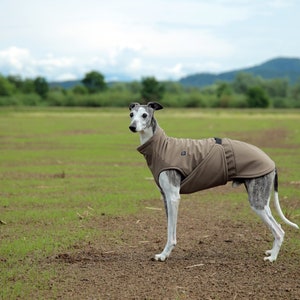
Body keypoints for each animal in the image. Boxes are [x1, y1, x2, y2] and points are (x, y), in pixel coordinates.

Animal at [128, 102, 298, 262]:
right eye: (131, 114)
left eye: (144, 115)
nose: (132, 127)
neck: (161, 146)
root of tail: (272, 162)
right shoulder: (165, 197)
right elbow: (169, 227)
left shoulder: (173, 197)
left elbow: (171, 232)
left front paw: (164, 255)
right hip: (262, 200)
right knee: (278, 226)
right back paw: (271, 252)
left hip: (257, 202)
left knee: (279, 231)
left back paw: (272, 258)